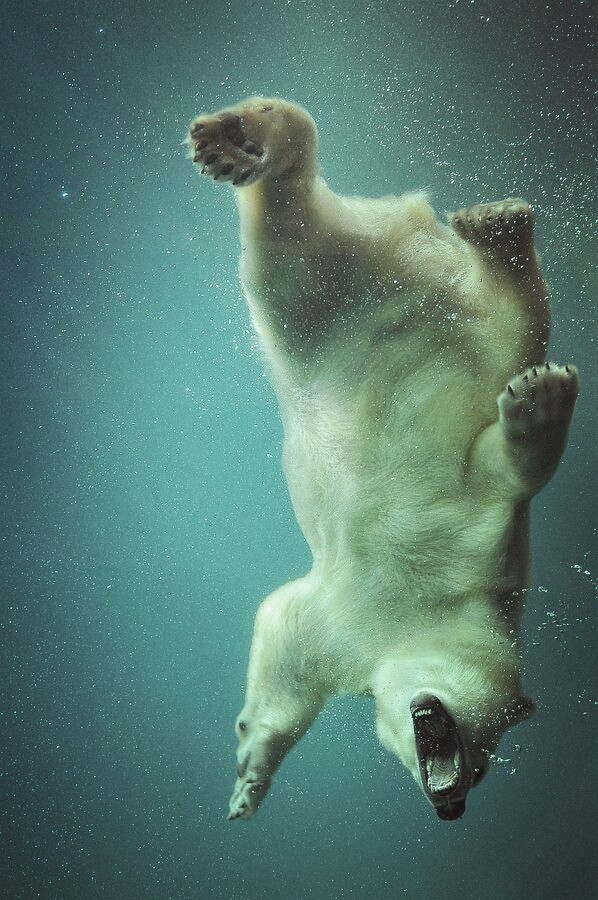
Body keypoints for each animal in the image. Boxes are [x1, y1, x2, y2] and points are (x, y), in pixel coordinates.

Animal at [187, 97, 579, 821]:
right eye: (484, 761)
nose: (452, 806)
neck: (425, 607)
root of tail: (406, 243)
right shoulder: (477, 537)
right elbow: (508, 468)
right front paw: (543, 398)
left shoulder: (345, 623)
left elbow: (282, 640)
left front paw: (248, 777)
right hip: (341, 305)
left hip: (343, 293)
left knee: (289, 236)